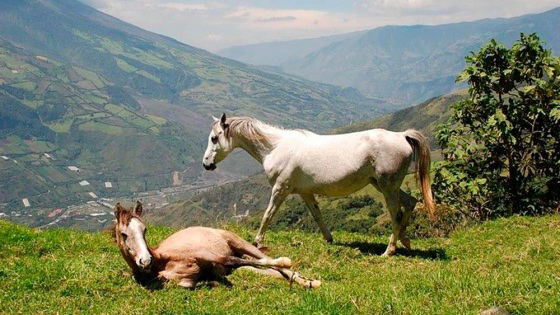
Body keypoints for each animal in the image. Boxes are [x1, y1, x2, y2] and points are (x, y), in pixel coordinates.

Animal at [203, 113, 436, 256]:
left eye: (214, 138)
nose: (206, 164)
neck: (275, 147)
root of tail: (402, 136)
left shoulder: (280, 189)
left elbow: (268, 214)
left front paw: (257, 242)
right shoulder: (305, 193)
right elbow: (317, 215)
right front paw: (329, 239)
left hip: (387, 187)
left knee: (397, 213)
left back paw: (389, 250)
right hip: (385, 185)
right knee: (411, 202)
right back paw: (405, 241)